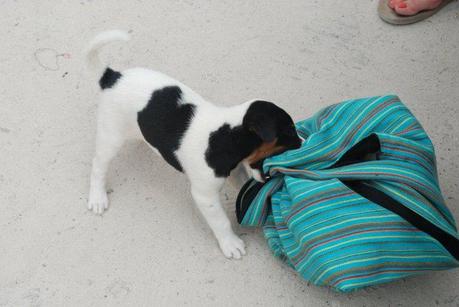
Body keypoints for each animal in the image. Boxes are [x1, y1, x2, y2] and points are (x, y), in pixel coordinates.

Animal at [85, 31, 304, 260]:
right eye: (289, 131)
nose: (304, 141)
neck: (224, 136)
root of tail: (112, 77)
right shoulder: (204, 195)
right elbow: (221, 222)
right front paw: (230, 243)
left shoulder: (234, 170)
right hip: (111, 137)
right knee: (98, 166)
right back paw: (97, 197)